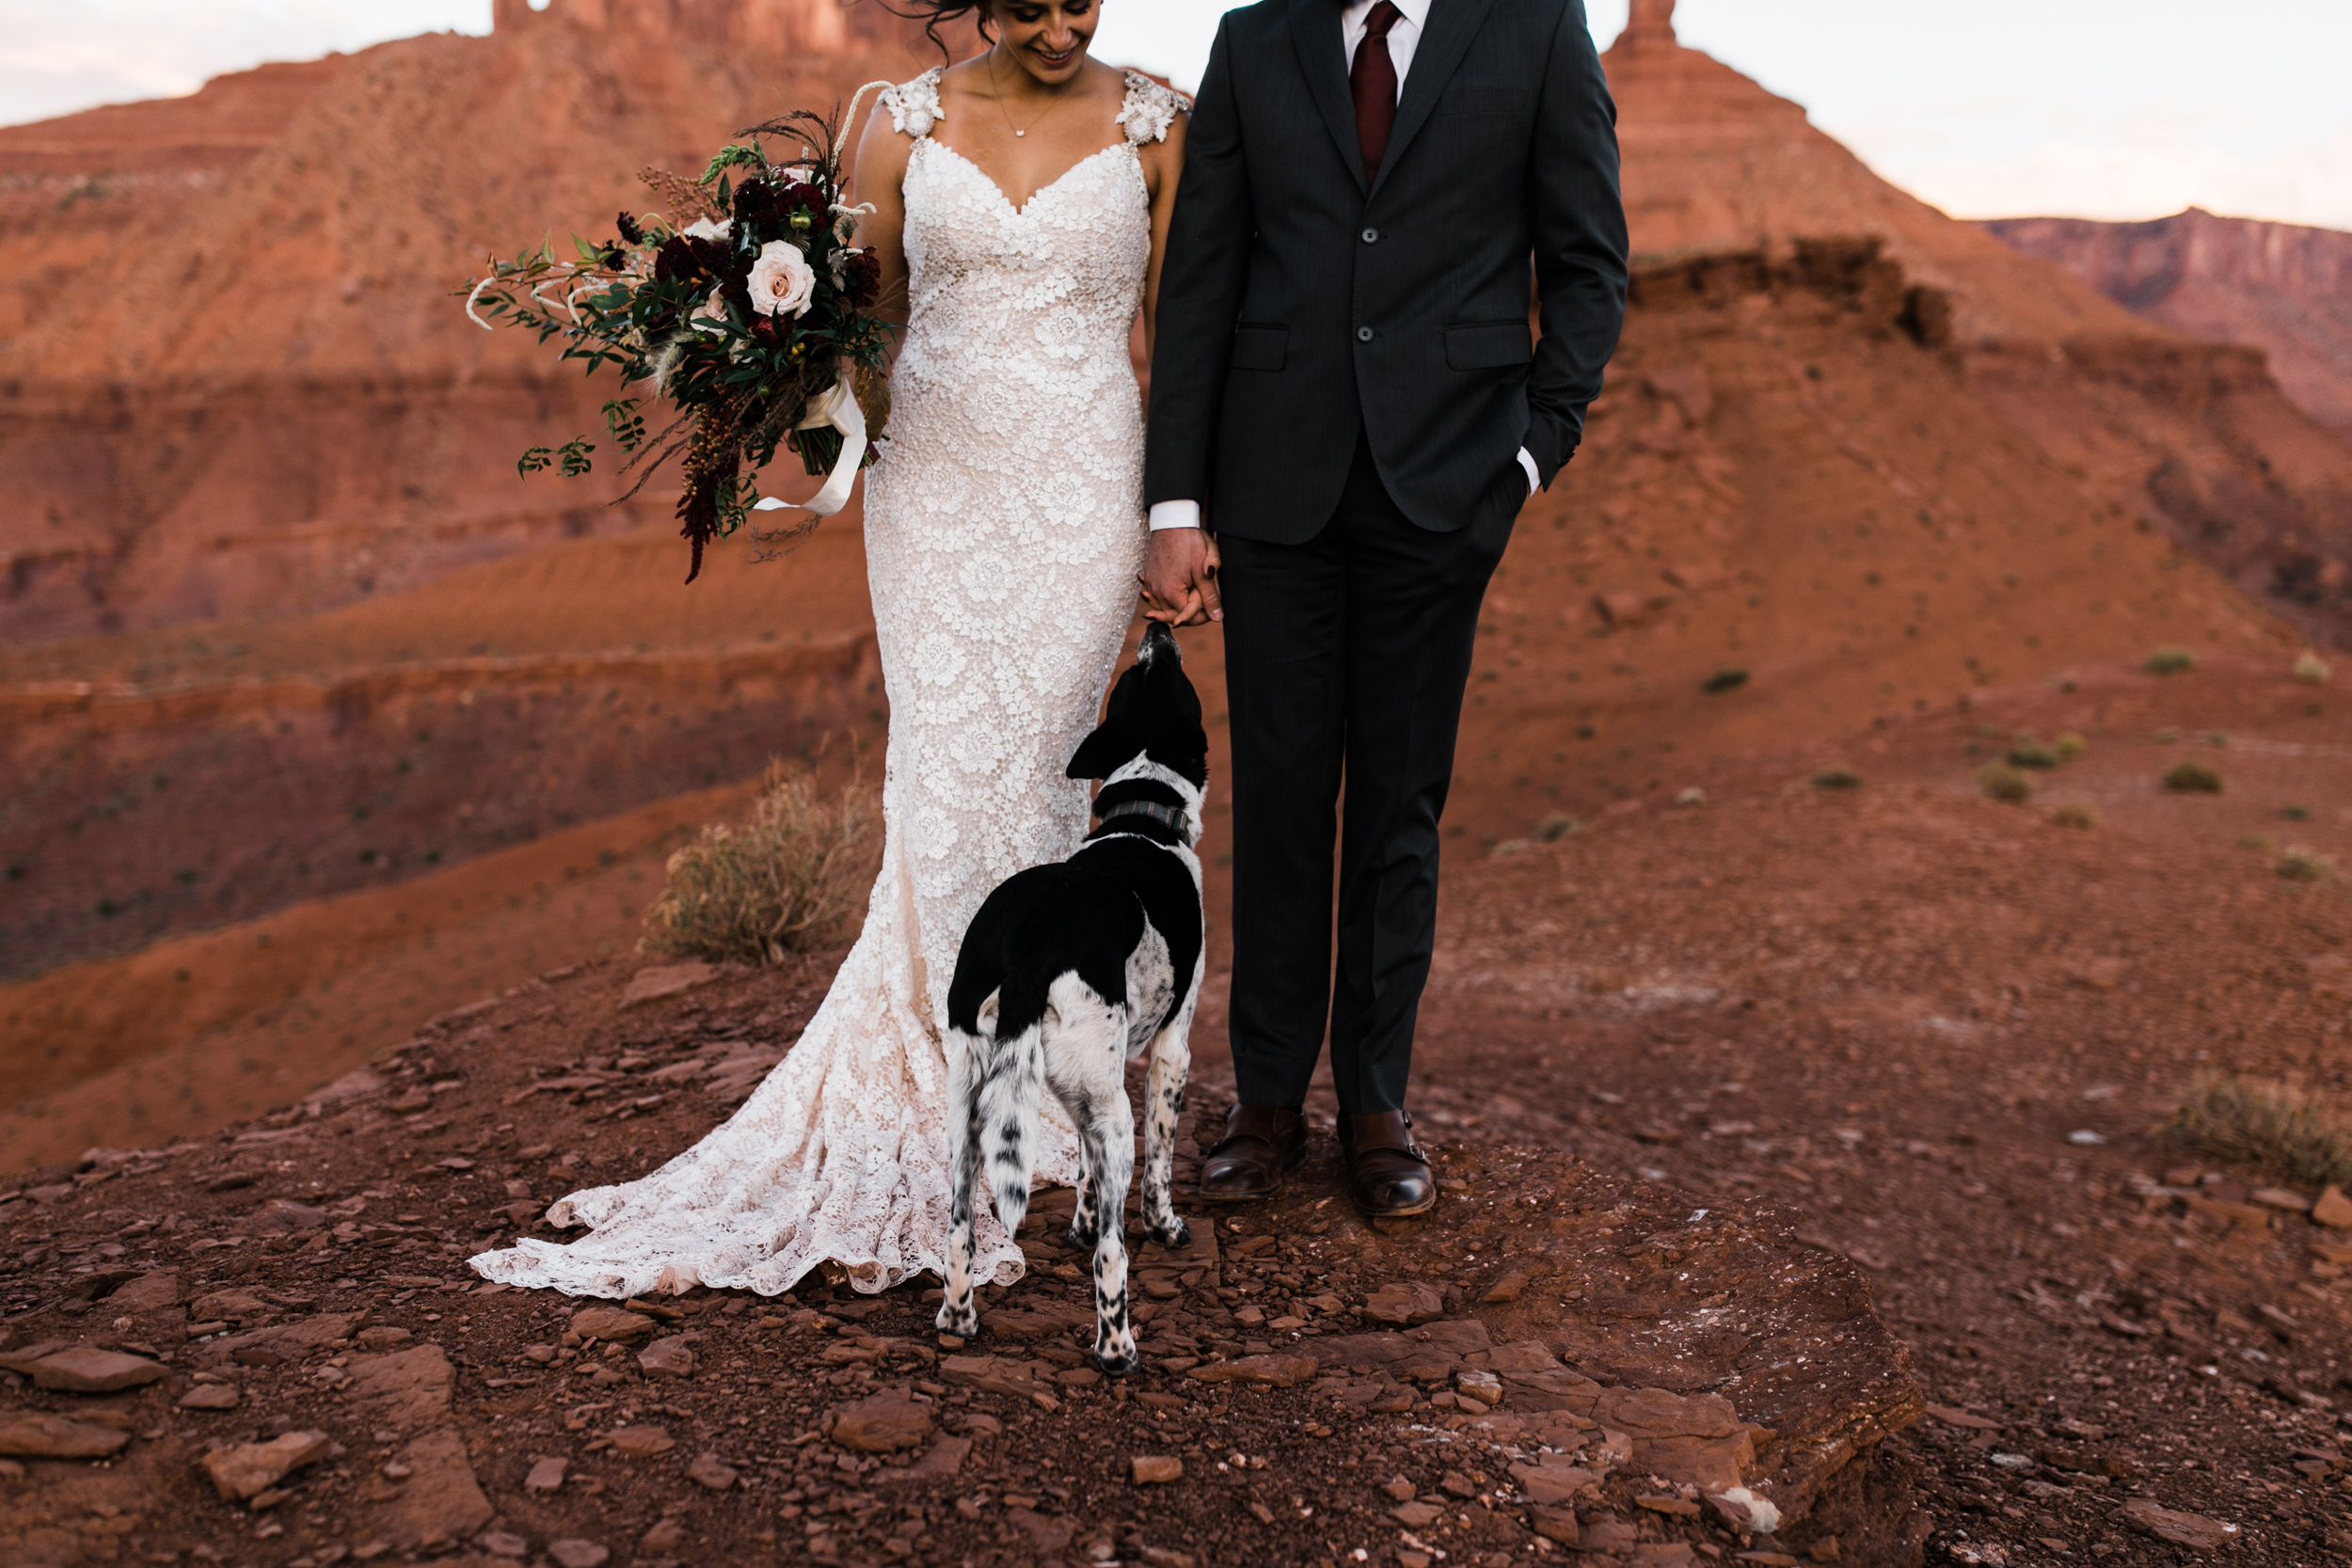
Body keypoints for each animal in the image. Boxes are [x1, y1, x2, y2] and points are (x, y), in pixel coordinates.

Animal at [936, 625, 1204, 1372]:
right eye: (1173, 676)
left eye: (1131, 679)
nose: (1159, 629)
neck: (1143, 816)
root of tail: (1028, 938)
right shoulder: (1172, 1049)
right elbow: (1158, 1169)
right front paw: (1166, 1225)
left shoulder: (1077, 1091)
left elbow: (1082, 1172)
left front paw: (1078, 1221)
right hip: (1116, 1111)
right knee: (1113, 1254)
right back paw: (1117, 1348)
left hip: (969, 1104)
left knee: (961, 1228)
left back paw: (958, 1318)